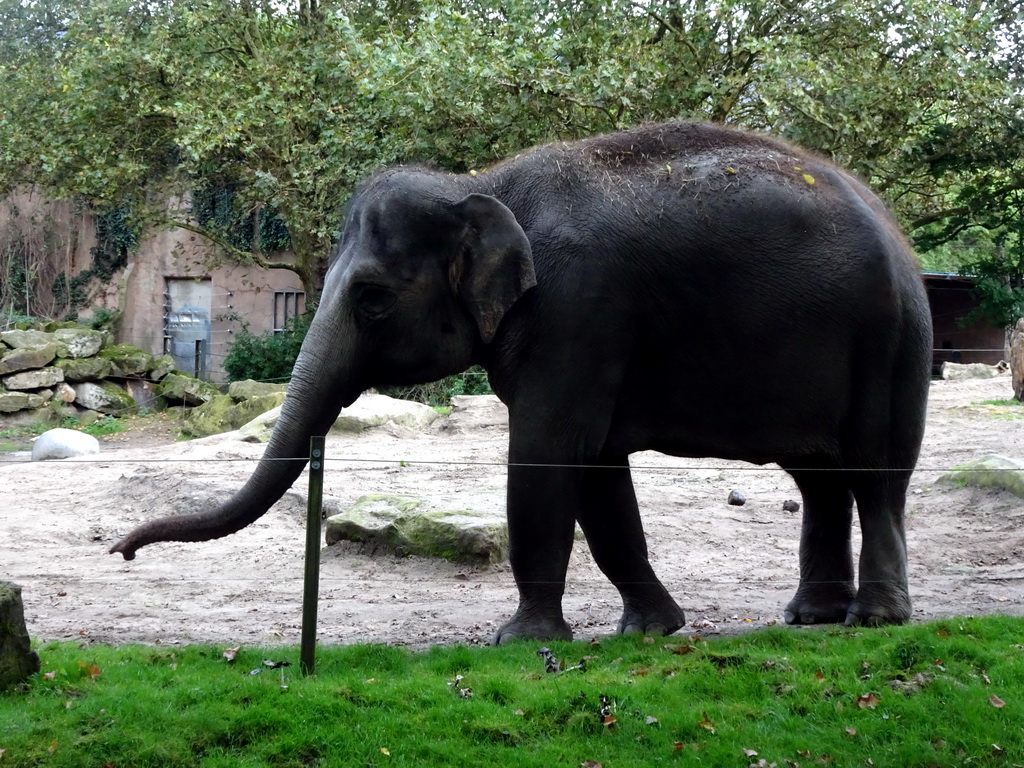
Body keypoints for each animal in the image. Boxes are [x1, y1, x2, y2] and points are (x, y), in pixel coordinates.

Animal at [108, 121, 933, 643]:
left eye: (371, 298)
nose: (120, 554)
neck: (481, 184)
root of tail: (894, 227)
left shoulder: (578, 310)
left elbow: (546, 455)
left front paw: (519, 641)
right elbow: (597, 472)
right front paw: (649, 632)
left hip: (890, 342)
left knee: (875, 472)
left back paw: (875, 621)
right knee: (820, 476)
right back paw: (810, 619)